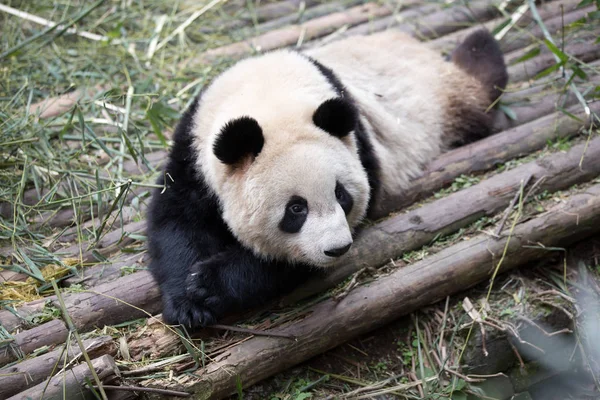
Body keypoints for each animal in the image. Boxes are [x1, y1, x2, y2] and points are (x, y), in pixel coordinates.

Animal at [148, 28, 508, 328]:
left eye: (341, 195)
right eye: (296, 209)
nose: (338, 249)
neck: (269, 97)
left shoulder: (361, 147)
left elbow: (287, 264)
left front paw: (210, 284)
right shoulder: (193, 150)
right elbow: (176, 221)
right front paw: (188, 303)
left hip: (443, 104)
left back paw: (479, 43)